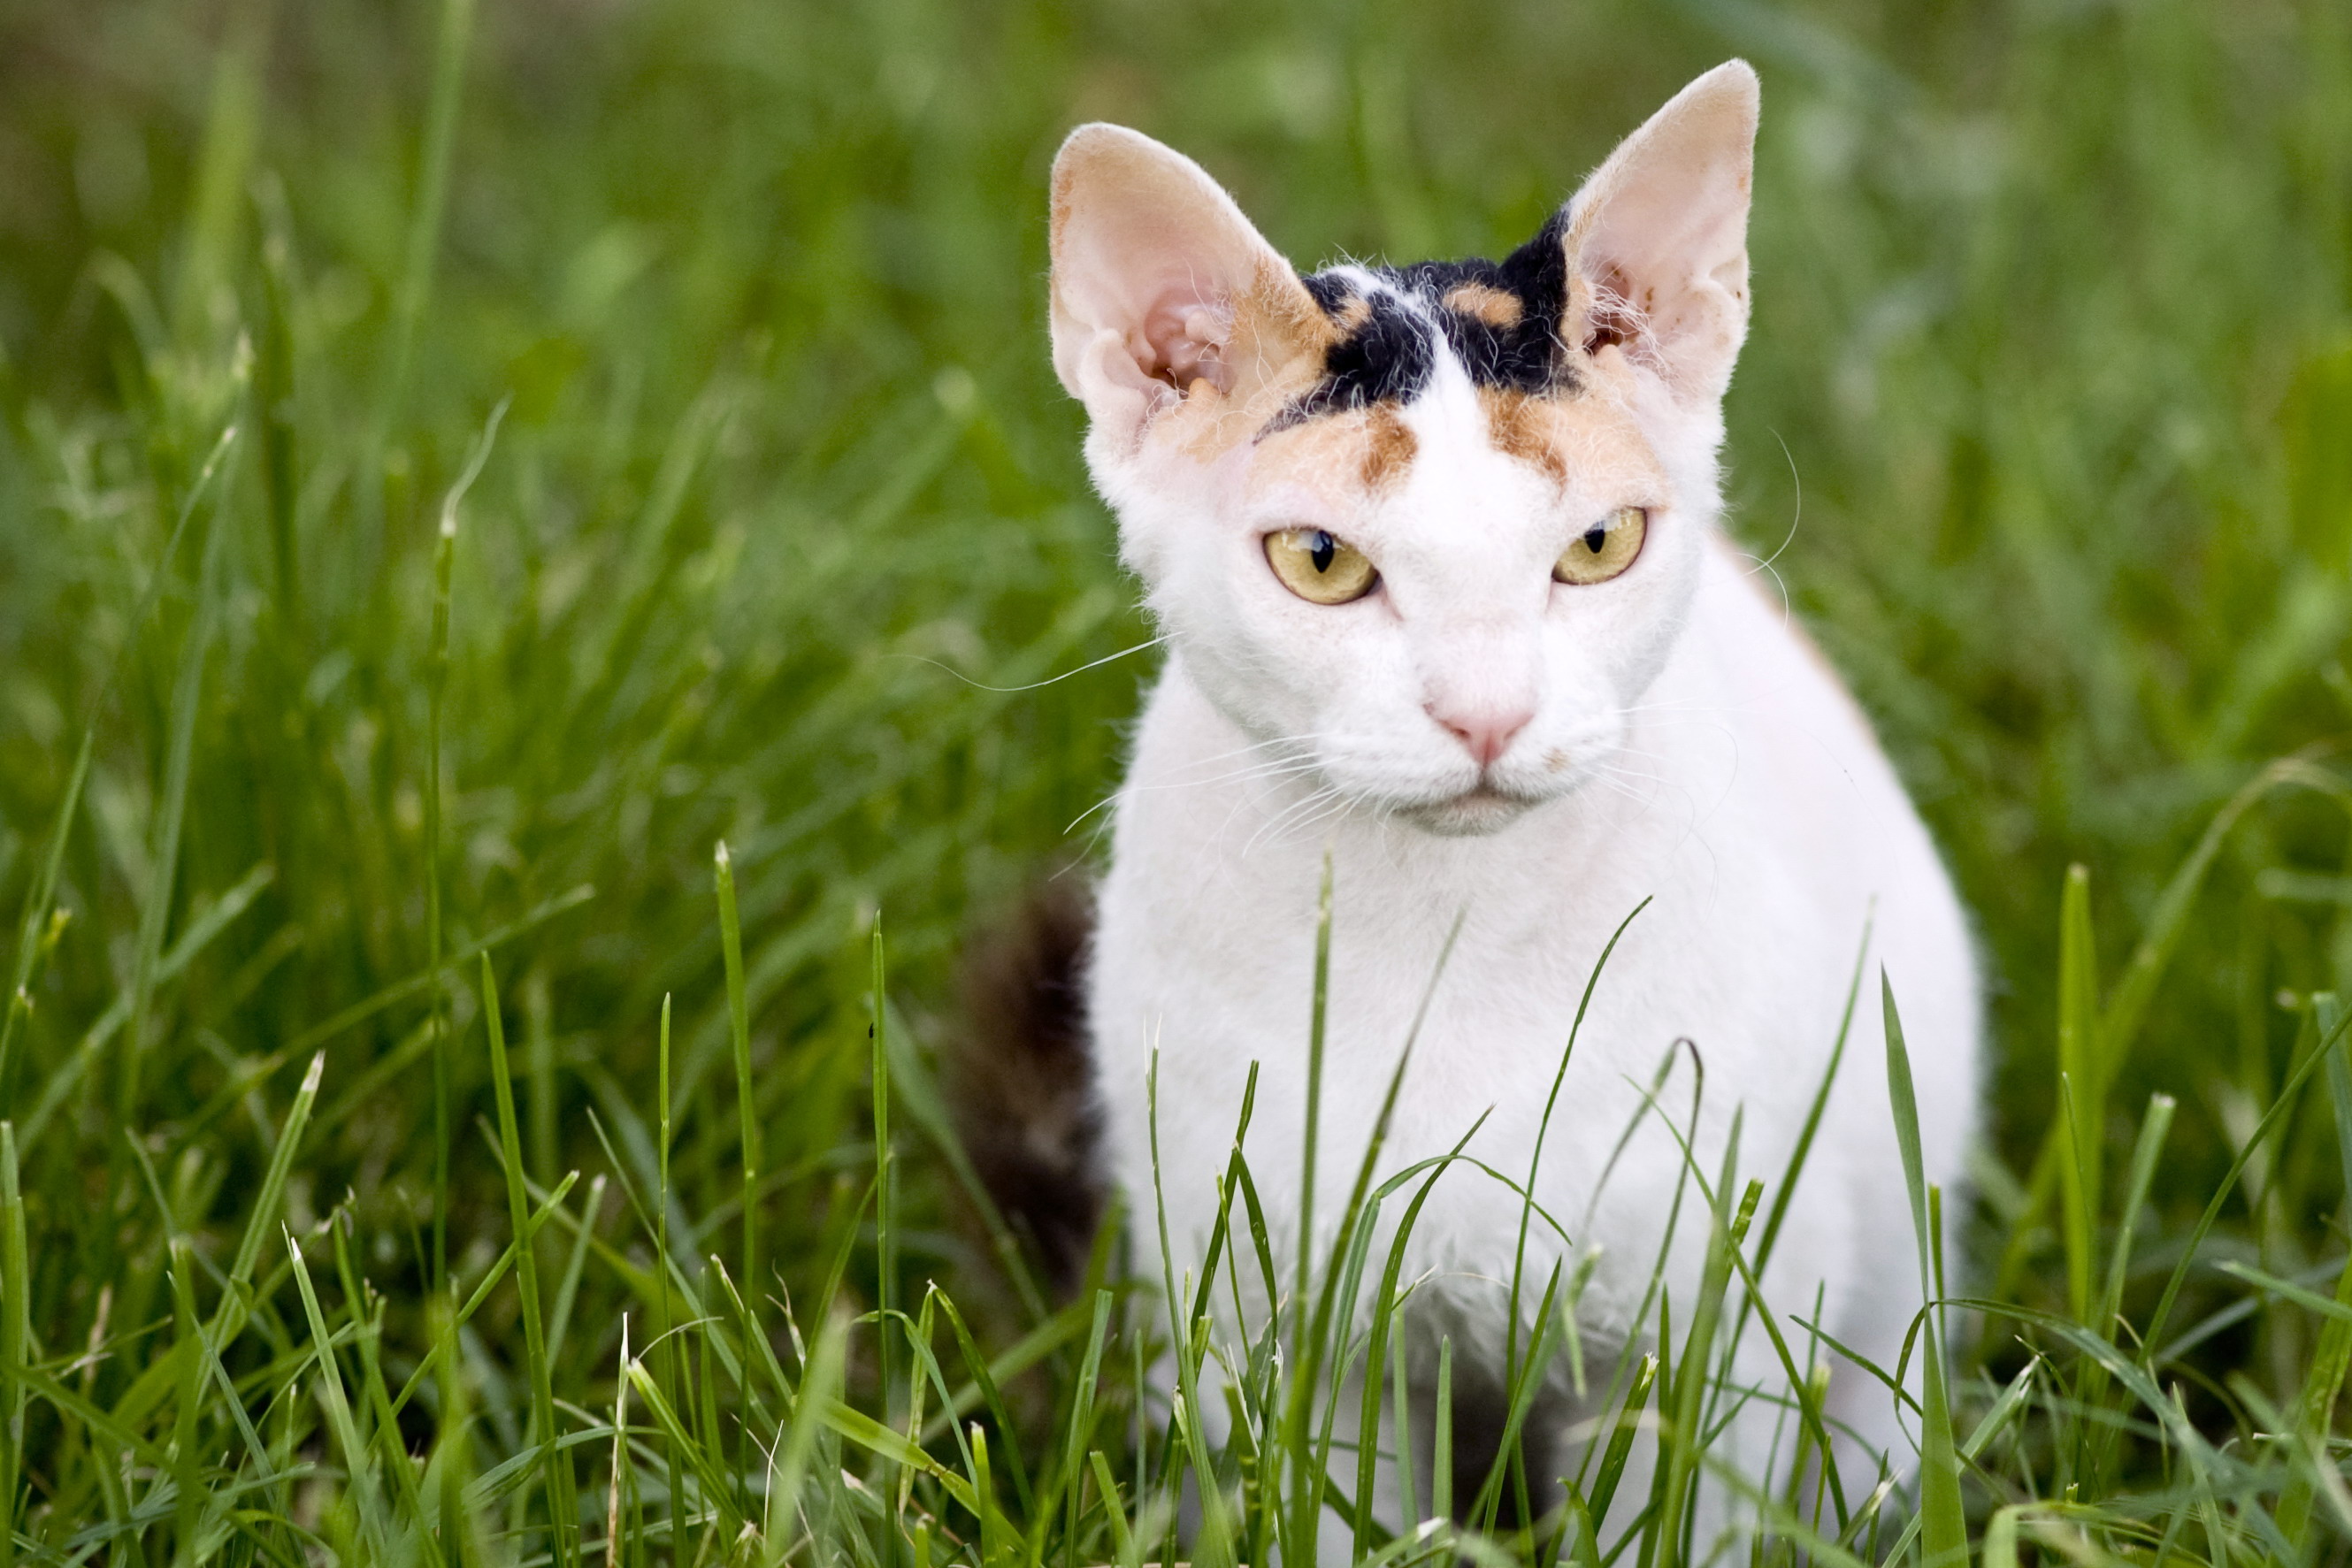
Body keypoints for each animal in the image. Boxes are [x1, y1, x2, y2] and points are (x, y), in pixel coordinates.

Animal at [959, 57, 1985, 1561]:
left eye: (1597, 545)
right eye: (1319, 561)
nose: (1485, 714)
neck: (1454, 937)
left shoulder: (1713, 1313)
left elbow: (1677, 1509)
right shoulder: (1269, 1311)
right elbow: (1325, 1507)